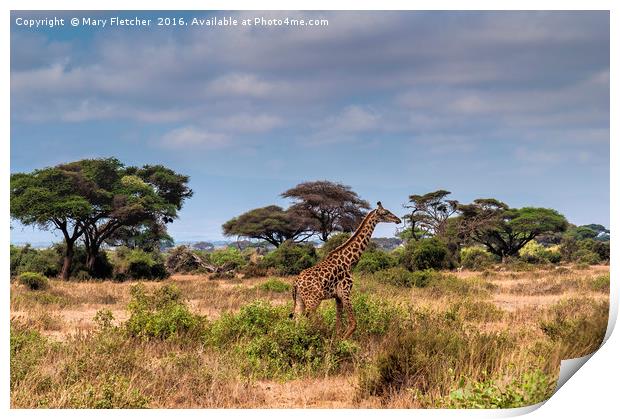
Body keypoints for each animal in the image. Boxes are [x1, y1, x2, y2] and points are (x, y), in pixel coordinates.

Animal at [290, 202, 402, 340]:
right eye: (385, 212)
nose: (398, 220)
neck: (349, 262)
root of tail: (296, 283)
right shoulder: (345, 291)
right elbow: (353, 323)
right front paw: (343, 341)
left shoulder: (337, 296)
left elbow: (339, 323)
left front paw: (338, 339)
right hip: (313, 301)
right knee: (309, 320)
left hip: (299, 300)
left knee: (298, 320)